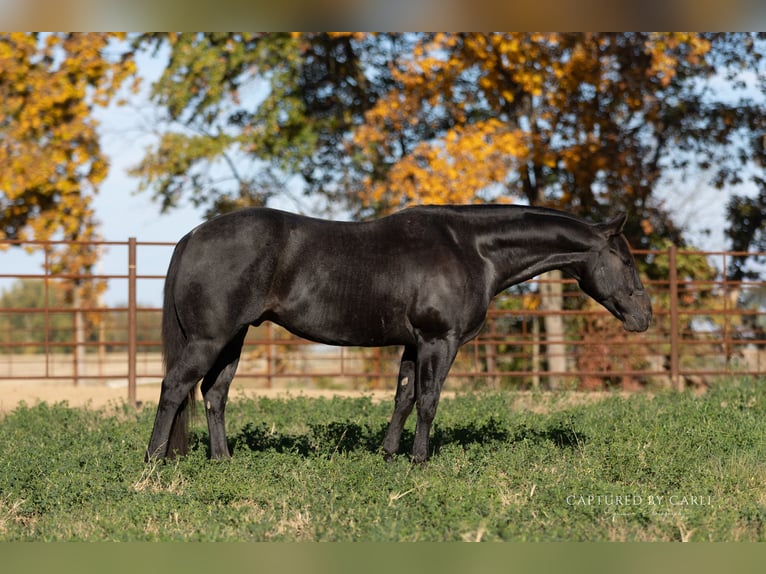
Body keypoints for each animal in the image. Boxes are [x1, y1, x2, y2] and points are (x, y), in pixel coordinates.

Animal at [145, 204, 652, 463]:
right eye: (626, 260)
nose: (644, 316)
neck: (471, 249)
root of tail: (192, 236)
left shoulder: (413, 343)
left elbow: (404, 397)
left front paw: (389, 456)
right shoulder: (438, 340)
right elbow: (428, 401)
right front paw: (420, 461)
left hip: (232, 340)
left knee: (214, 394)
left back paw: (223, 460)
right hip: (209, 339)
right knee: (175, 387)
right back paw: (154, 463)